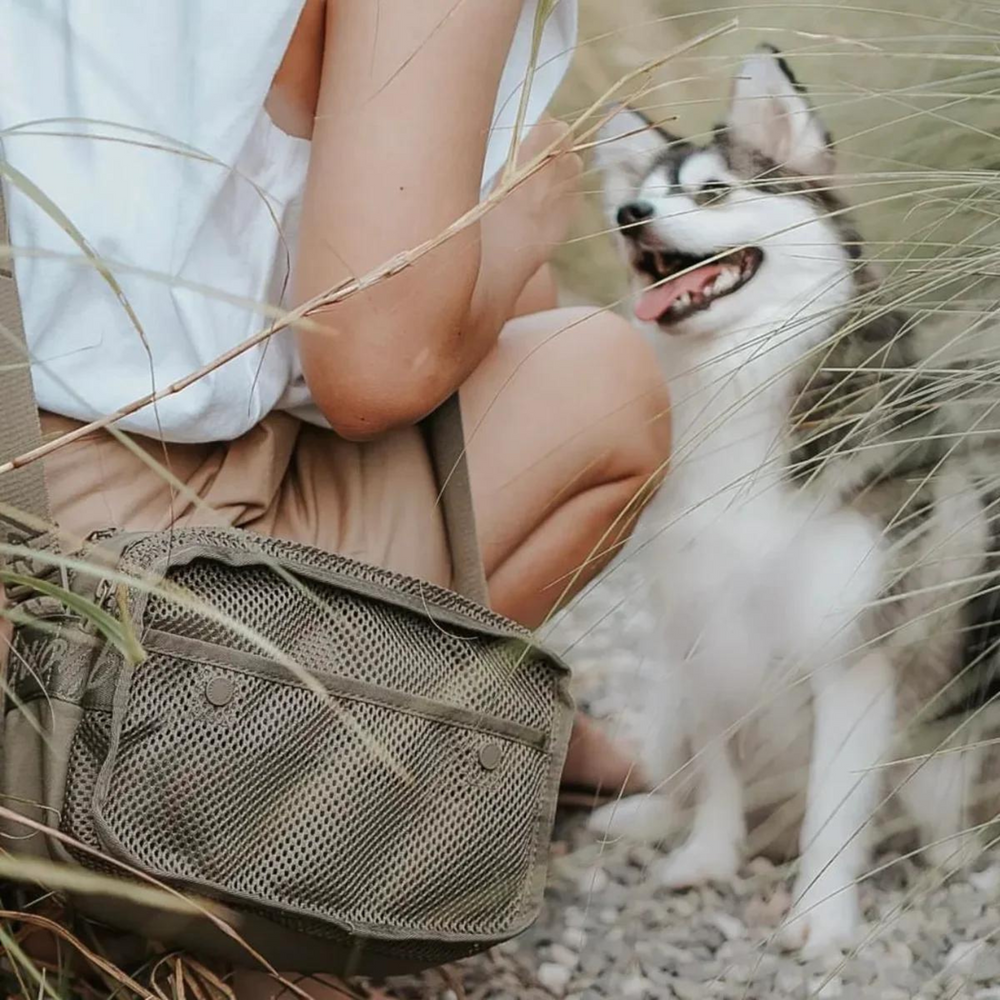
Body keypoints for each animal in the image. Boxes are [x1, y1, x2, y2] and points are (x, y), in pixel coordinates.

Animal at [588, 47, 996, 952]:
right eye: (640, 197)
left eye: (713, 192)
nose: (631, 216)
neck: (734, 391)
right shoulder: (699, 630)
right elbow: (717, 774)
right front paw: (708, 855)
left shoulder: (853, 651)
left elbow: (834, 808)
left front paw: (822, 918)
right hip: (667, 701)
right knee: (682, 772)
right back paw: (648, 818)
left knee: (937, 808)